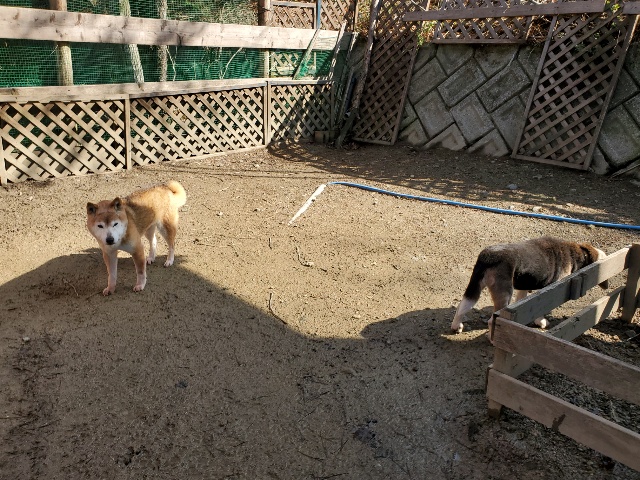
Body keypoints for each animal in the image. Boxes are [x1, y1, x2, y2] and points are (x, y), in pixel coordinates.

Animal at [450, 236, 606, 333]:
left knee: (461, 307)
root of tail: (488, 257)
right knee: (490, 321)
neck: (575, 254)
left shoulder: (523, 290)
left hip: (474, 288)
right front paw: (541, 322)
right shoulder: (552, 290)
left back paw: (456, 326)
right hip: (504, 294)